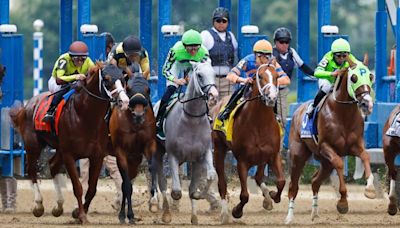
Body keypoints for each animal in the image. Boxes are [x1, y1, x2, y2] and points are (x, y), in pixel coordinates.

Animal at [9, 62, 128, 224]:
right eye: (107, 79)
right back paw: (38, 205)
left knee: (53, 165)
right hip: (33, 145)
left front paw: (78, 212)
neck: (86, 116)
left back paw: (58, 206)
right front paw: (82, 216)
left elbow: (92, 189)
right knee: (32, 171)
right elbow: (78, 187)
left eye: (123, 78)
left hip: (58, 149)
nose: (125, 102)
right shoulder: (69, 155)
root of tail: (28, 105)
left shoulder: (97, 156)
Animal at [109, 75, 156, 224]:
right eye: (128, 89)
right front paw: (128, 214)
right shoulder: (120, 151)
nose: (139, 114)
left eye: (148, 89)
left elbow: (152, 166)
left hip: (134, 161)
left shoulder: (149, 143)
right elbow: (127, 186)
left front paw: (153, 192)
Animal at [151, 61, 219, 224]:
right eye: (199, 75)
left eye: (214, 73)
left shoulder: (202, 154)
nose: (213, 96)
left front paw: (196, 209)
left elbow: (209, 178)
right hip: (158, 152)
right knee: (161, 180)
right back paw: (163, 211)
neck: (191, 119)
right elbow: (176, 191)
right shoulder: (173, 155)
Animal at [212, 61, 284, 224]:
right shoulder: (242, 161)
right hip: (218, 149)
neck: (259, 123)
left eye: (277, 76)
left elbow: (281, 182)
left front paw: (273, 195)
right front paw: (236, 211)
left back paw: (268, 199)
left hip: (262, 158)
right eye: (260, 76)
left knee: (258, 177)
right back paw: (224, 214)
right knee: (222, 183)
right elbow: (244, 195)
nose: (271, 97)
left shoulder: (273, 155)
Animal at [284, 58, 376, 224]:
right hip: (298, 156)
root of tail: (297, 111)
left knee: (315, 181)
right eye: (354, 78)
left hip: (325, 163)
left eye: (370, 76)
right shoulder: (326, 147)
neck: (342, 114)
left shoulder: (355, 145)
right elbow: (339, 164)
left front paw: (370, 189)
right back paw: (289, 217)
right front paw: (343, 203)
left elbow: (365, 156)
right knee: (293, 187)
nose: (367, 104)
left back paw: (314, 213)